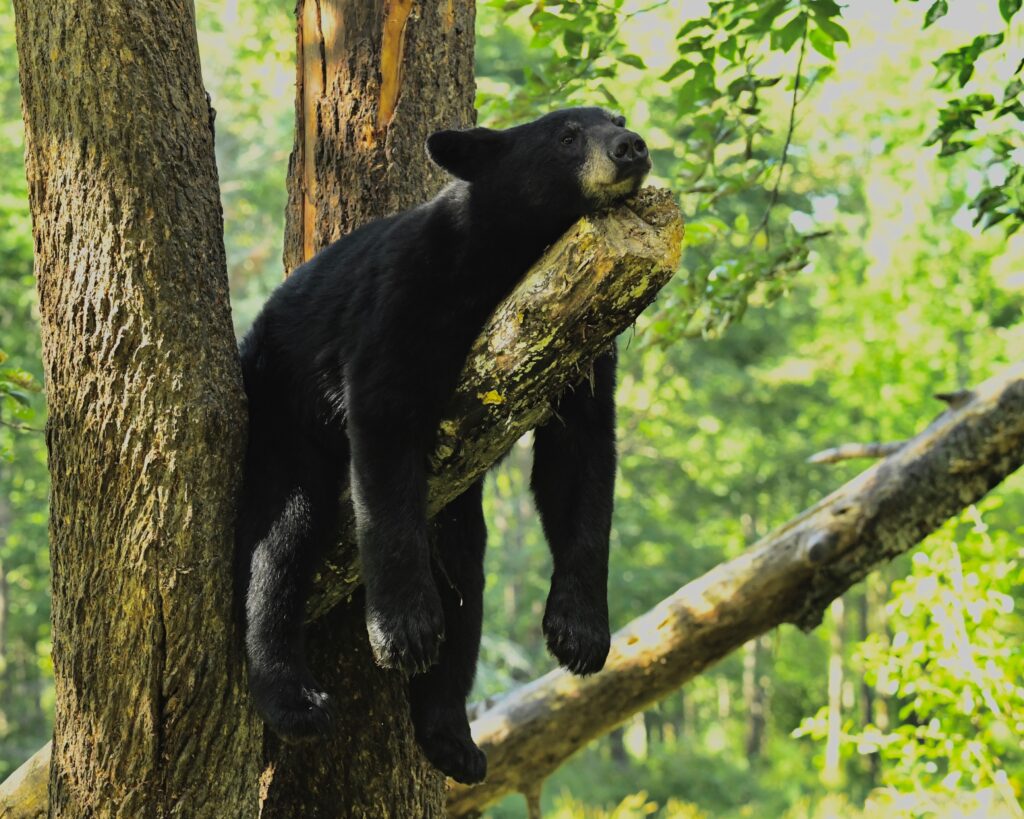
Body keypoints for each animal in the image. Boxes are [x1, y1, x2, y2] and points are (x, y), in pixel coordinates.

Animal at [235, 105, 651, 782]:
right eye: (565, 135)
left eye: (615, 116)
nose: (631, 147)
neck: (513, 256)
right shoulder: (412, 293)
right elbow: (385, 421)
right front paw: (403, 629)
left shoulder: (587, 334)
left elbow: (580, 461)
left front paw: (580, 632)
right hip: (280, 413)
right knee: (278, 546)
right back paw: (293, 697)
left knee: (465, 581)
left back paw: (452, 738)